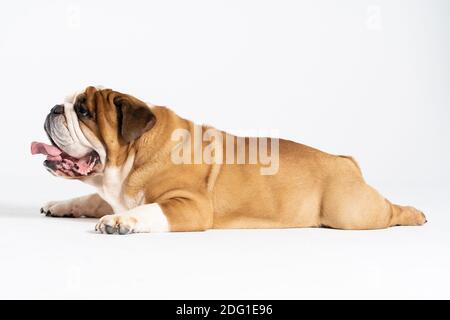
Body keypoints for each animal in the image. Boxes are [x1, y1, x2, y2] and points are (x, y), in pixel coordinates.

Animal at [33, 86, 428, 234]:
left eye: (84, 112)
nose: (54, 109)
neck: (135, 154)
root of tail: (345, 161)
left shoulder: (187, 205)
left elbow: (147, 210)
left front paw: (121, 221)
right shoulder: (113, 190)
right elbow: (89, 198)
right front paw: (60, 205)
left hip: (352, 212)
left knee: (388, 211)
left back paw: (414, 213)